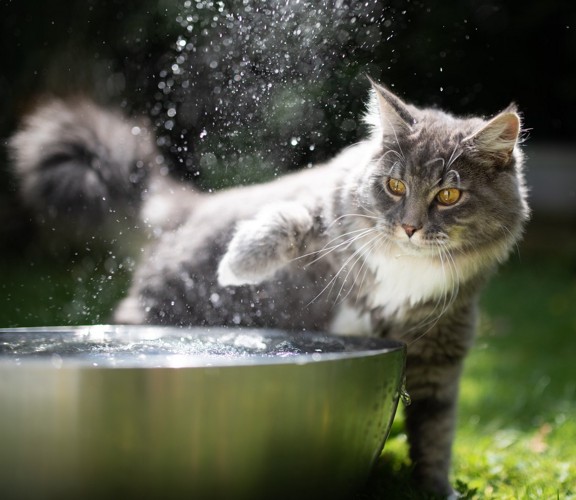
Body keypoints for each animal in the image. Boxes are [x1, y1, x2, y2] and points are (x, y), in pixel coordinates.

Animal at [10, 82, 532, 496]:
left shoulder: (441, 351)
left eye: (448, 195)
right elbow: (289, 220)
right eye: (395, 186)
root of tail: (188, 210)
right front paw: (238, 263)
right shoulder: (325, 210)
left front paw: (436, 490)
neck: (406, 266)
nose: (408, 228)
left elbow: (435, 430)